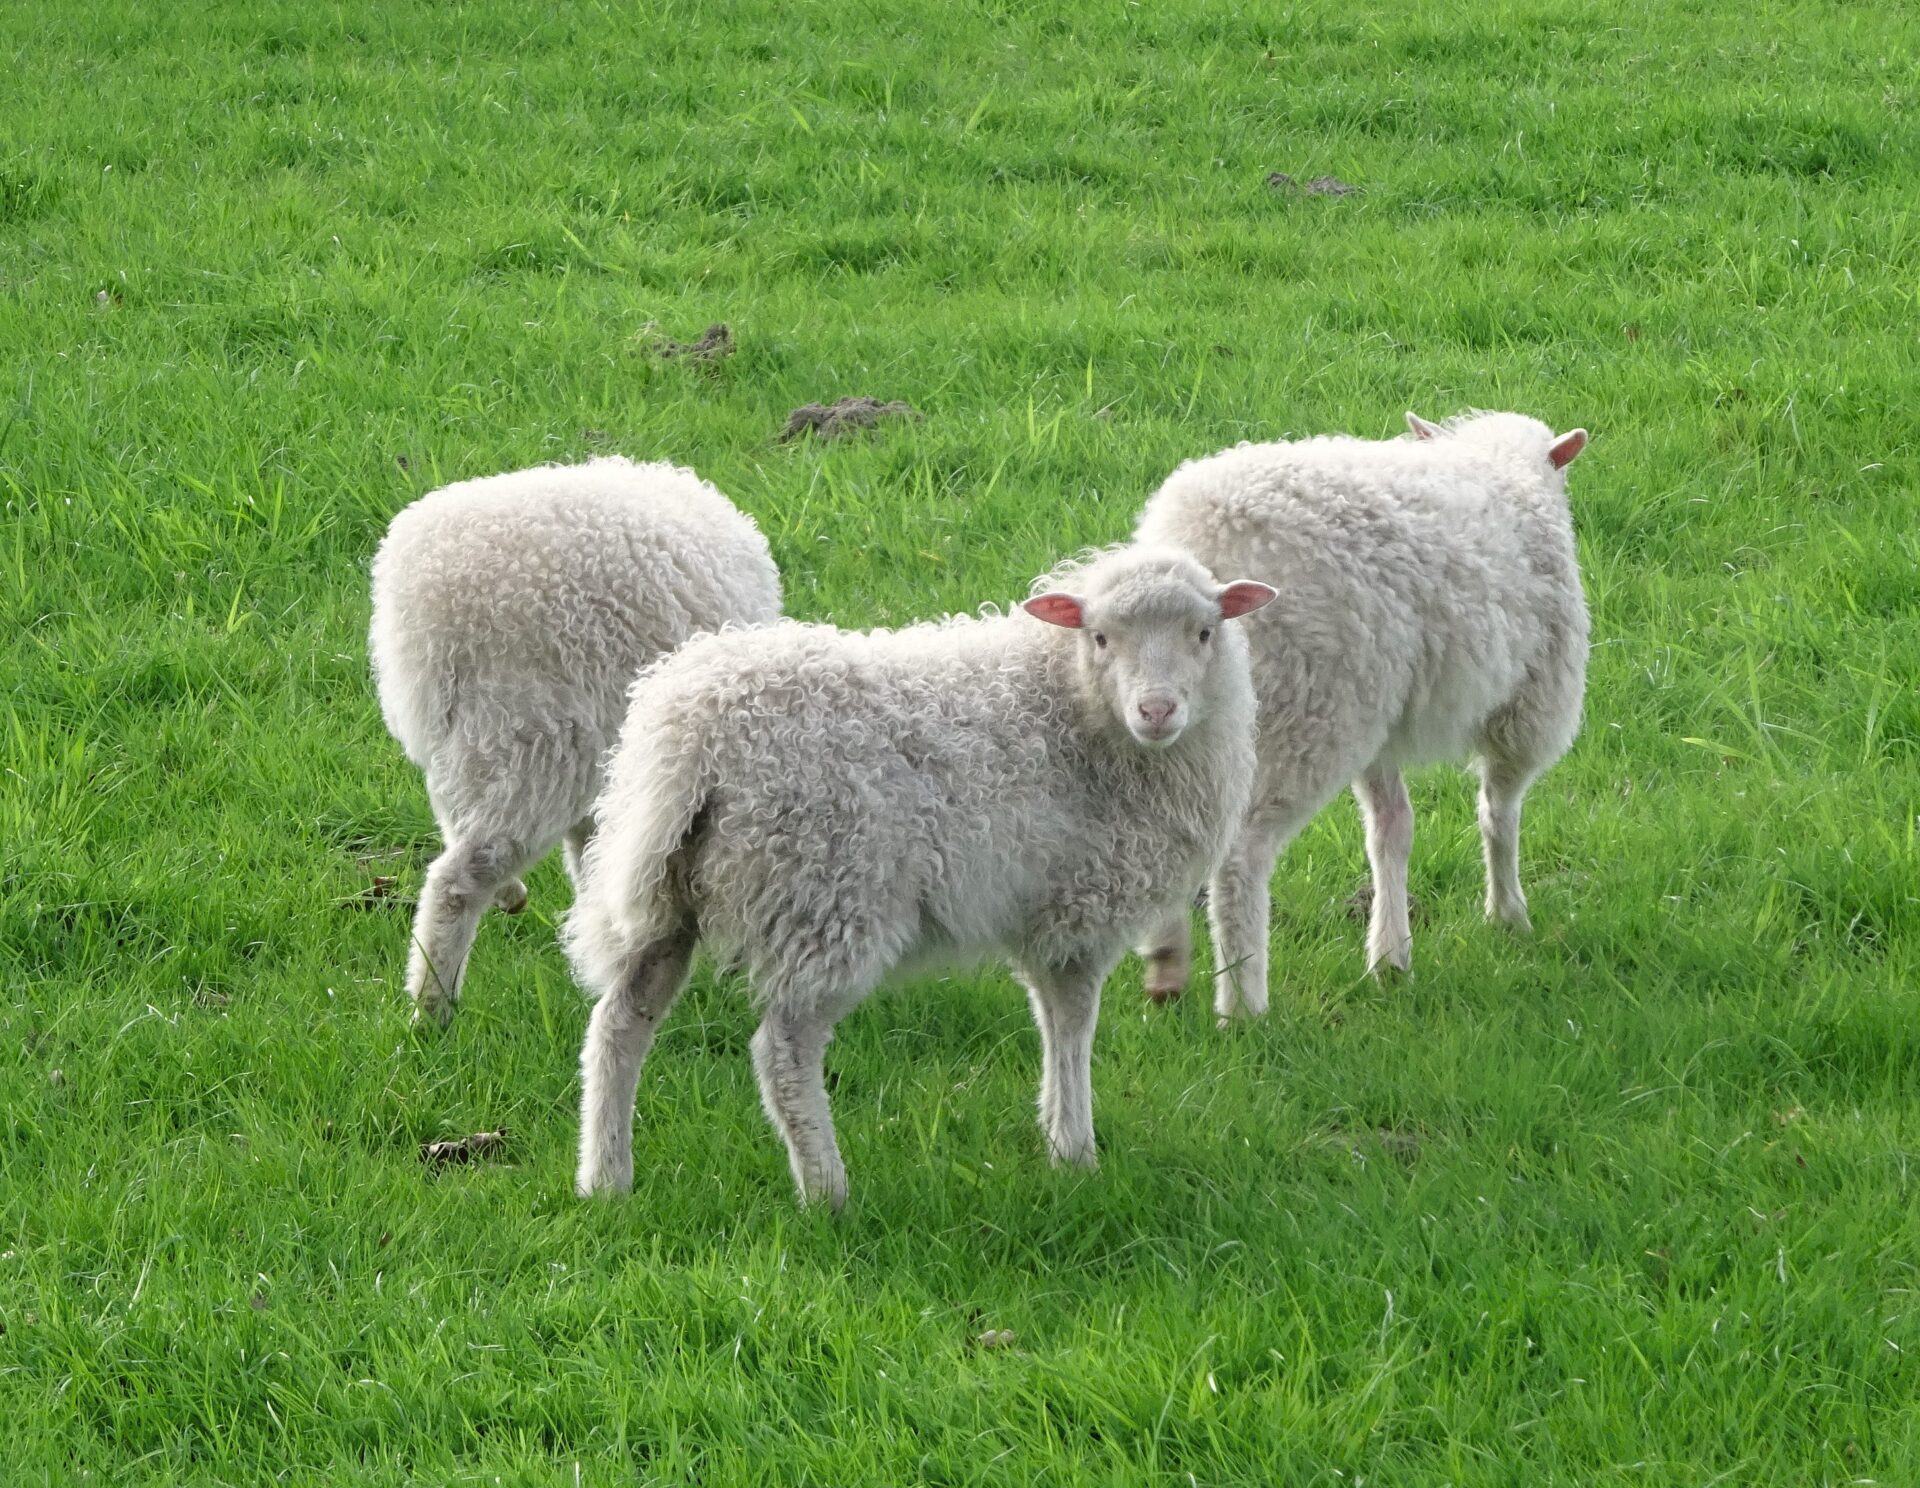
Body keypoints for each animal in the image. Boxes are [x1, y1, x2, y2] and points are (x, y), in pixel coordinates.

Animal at [368, 456, 782, 1026]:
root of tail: (433, 600)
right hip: (536, 736)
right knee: (458, 879)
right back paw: (433, 1011)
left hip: (471, 739)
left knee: (458, 821)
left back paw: (502, 906)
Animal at [564, 546, 1278, 1208]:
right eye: (1100, 637)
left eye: (1204, 633)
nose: (1157, 710)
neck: (1070, 706)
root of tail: (696, 737)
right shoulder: (1080, 908)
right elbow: (1074, 1026)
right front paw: (1077, 1152)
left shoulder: (1043, 912)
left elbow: (1050, 1020)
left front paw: (1057, 1140)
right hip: (822, 896)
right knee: (783, 1053)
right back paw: (826, 1192)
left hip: (661, 890)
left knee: (620, 1023)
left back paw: (605, 1180)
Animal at [1132, 410, 1591, 1020]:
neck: (1502, 468)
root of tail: (1204, 539)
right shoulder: (1531, 703)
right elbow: (1499, 811)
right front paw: (1507, 913)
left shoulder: (1383, 722)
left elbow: (1392, 828)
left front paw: (1390, 956)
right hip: (1310, 711)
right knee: (1240, 857)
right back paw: (1244, 1003)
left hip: (1191, 715)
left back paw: (1165, 964)